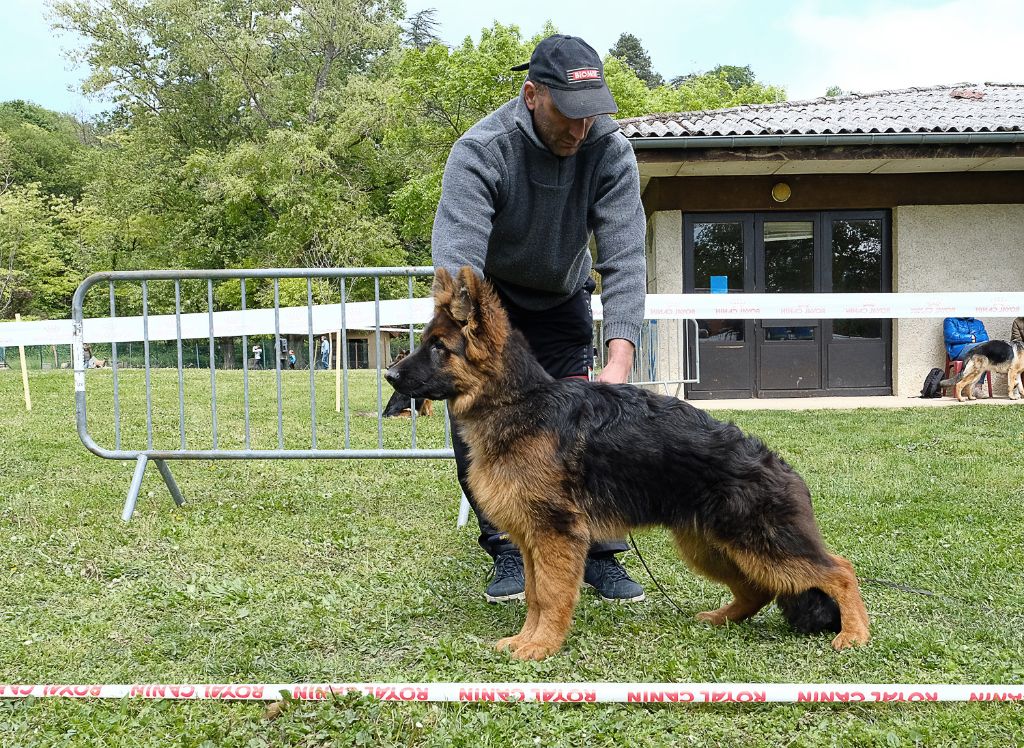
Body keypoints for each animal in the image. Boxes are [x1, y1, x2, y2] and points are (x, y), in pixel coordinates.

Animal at [385, 268, 872, 659]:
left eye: (438, 347)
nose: (389, 376)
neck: (519, 402)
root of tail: (780, 466)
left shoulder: (555, 536)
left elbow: (552, 597)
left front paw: (541, 646)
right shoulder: (531, 540)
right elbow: (535, 596)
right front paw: (527, 639)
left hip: (761, 544)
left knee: (840, 570)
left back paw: (854, 635)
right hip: (713, 547)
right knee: (757, 589)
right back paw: (721, 618)